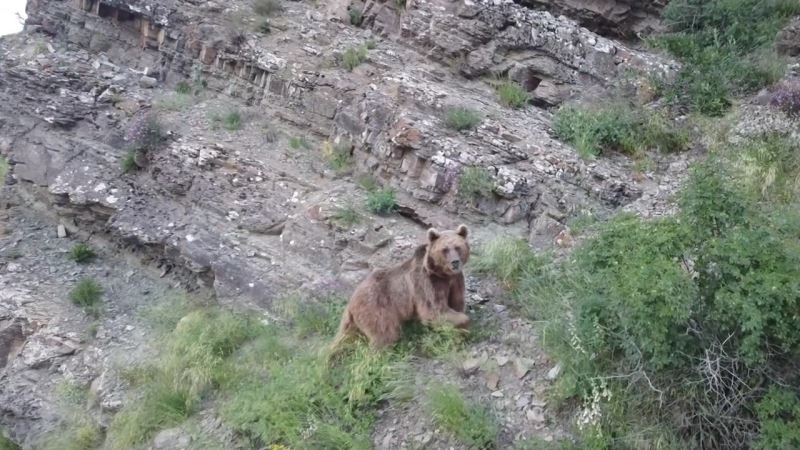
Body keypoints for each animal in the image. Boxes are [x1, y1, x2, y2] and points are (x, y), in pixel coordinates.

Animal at [330, 223, 472, 350]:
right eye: (445, 249)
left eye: (458, 247)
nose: (455, 262)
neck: (443, 274)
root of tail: (351, 301)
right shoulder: (428, 283)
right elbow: (435, 311)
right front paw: (463, 326)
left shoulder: (455, 281)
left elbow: (456, 304)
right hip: (377, 307)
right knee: (385, 333)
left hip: (354, 320)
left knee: (344, 339)